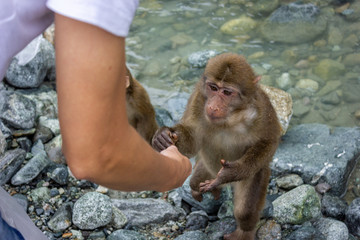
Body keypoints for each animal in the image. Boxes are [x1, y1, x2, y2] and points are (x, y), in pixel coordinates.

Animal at [152, 53, 282, 240]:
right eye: (213, 88)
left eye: (227, 92)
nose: (213, 106)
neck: (230, 117)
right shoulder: (199, 98)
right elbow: (193, 139)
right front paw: (163, 136)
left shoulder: (262, 108)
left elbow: (268, 142)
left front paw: (231, 172)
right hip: (206, 169)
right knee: (196, 180)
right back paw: (203, 189)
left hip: (257, 173)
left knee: (244, 210)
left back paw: (243, 230)